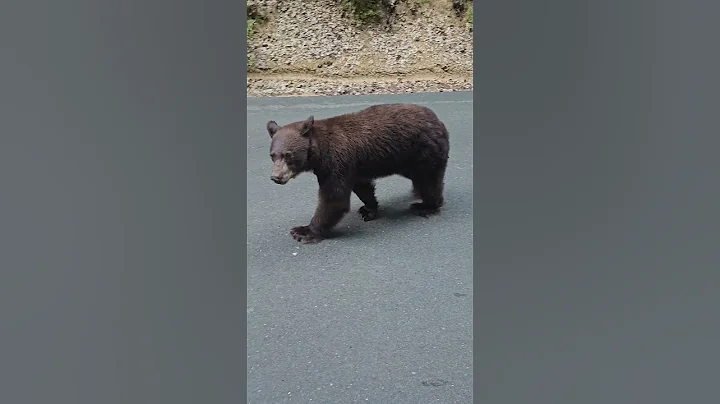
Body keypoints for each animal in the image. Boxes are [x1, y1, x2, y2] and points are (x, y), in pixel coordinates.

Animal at [266, 103, 450, 244]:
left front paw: (303, 231)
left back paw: (425, 206)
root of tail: (438, 120)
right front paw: (368, 209)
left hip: (422, 153)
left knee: (428, 180)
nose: (276, 177)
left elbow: (334, 198)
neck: (320, 153)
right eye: (272, 155)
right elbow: (362, 187)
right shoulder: (352, 167)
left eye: (288, 155)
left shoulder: (336, 162)